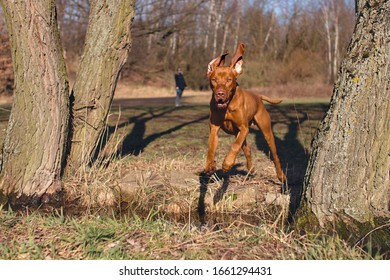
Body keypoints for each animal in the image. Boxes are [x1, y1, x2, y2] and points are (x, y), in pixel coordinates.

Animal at [204, 42, 286, 183]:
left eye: (229, 79)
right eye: (214, 79)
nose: (220, 94)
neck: (227, 106)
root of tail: (258, 96)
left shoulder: (244, 128)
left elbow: (235, 146)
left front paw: (227, 163)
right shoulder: (214, 128)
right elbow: (211, 148)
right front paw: (210, 165)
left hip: (266, 131)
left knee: (275, 155)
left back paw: (281, 176)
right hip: (240, 133)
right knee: (247, 150)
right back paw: (251, 168)